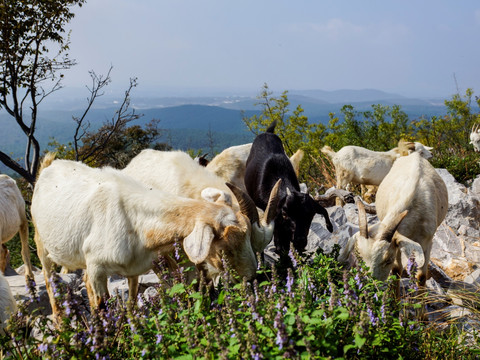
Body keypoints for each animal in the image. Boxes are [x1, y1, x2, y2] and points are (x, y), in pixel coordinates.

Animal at [32, 153, 268, 316]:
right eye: (225, 247)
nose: (252, 278)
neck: (133, 217)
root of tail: (49, 165)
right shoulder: (97, 268)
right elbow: (102, 305)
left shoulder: (135, 268)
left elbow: (132, 301)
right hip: (41, 243)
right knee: (49, 280)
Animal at [340, 152, 448, 296]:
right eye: (359, 258)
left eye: (388, 260)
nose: (371, 288)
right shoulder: (398, 240)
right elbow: (396, 271)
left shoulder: (427, 241)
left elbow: (421, 277)